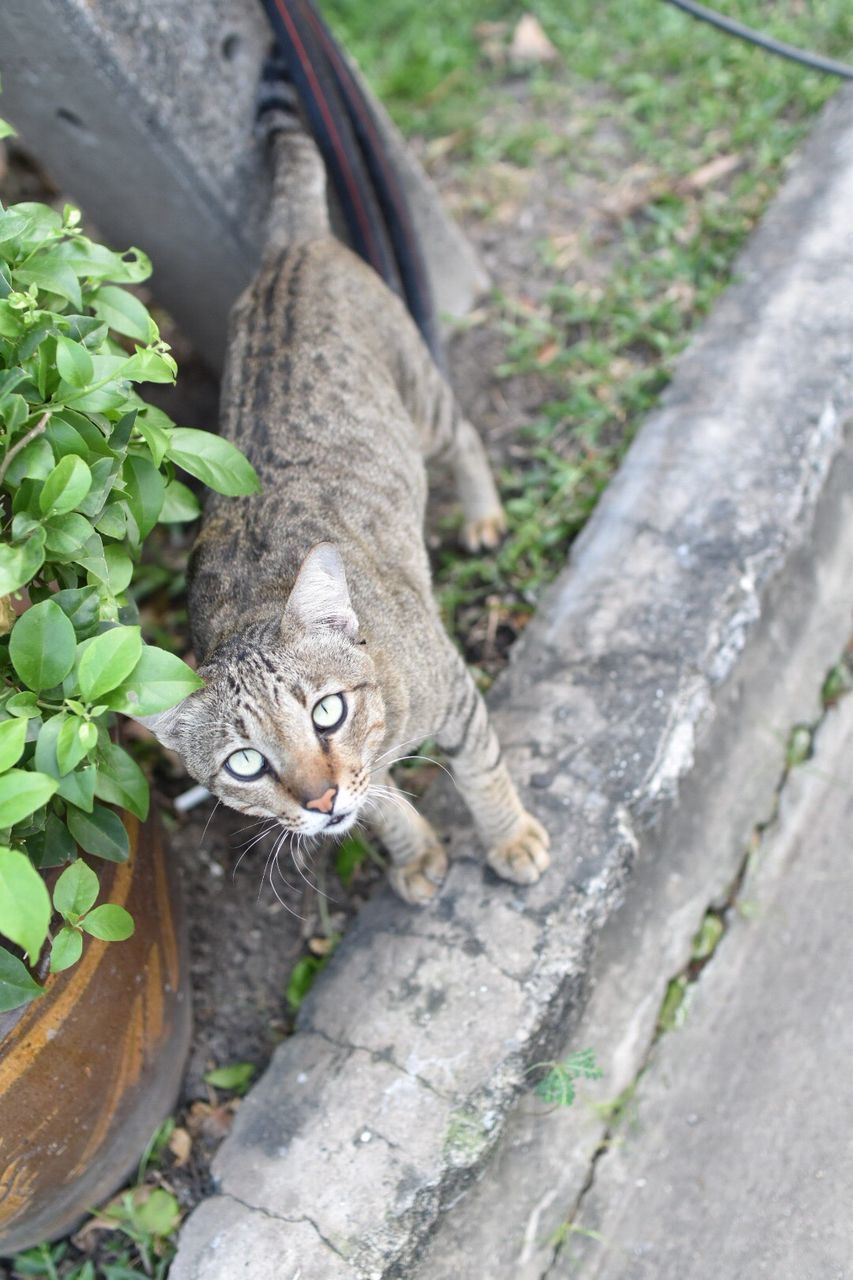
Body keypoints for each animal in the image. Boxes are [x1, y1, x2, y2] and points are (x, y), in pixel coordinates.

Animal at [142, 67, 548, 901]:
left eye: (326, 713)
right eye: (246, 763)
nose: (320, 798)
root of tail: (291, 245)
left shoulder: (458, 698)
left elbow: (482, 774)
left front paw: (509, 837)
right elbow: (382, 804)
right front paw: (413, 851)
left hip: (419, 397)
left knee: (463, 435)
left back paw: (482, 513)